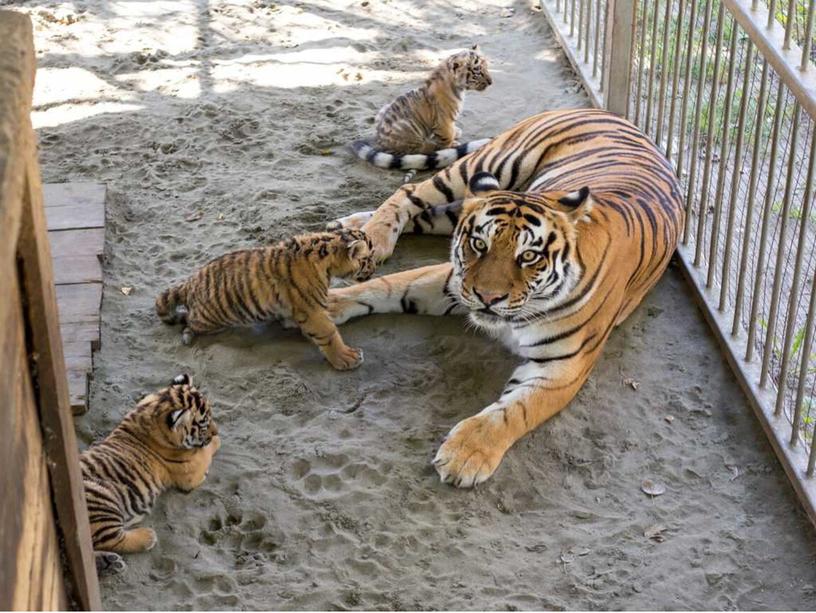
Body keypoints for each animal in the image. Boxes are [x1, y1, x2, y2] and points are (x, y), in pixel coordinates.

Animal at [328, 106, 684, 488]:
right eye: (478, 244)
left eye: (528, 256)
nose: (488, 297)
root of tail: (598, 109)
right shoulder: (455, 281)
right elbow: (387, 285)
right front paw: (328, 305)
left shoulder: (562, 367)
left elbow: (515, 411)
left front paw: (465, 454)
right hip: (490, 165)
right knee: (409, 191)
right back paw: (370, 238)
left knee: (425, 212)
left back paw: (351, 230)